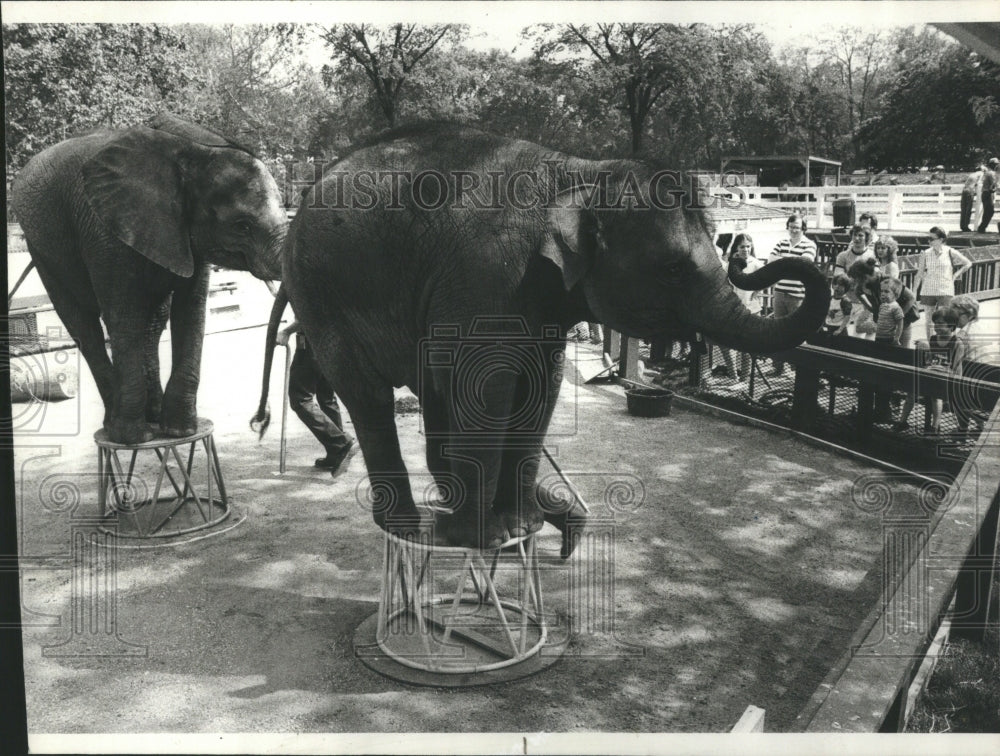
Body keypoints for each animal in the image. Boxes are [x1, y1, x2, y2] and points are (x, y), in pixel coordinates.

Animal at [12, 112, 286, 442]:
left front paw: (180, 431)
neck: (194, 149)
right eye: (241, 226)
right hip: (43, 250)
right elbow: (124, 315)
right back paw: (115, 425)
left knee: (153, 322)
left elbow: (190, 310)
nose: (259, 422)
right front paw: (133, 438)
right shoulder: (104, 230)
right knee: (84, 326)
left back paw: (152, 416)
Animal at [252, 122, 828, 548]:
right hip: (323, 298)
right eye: (671, 270)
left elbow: (541, 386)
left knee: (432, 393)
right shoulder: (489, 275)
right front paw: (481, 539)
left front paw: (523, 526)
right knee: (368, 395)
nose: (752, 259)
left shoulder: (537, 295)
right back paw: (412, 531)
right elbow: (488, 385)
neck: (584, 172)